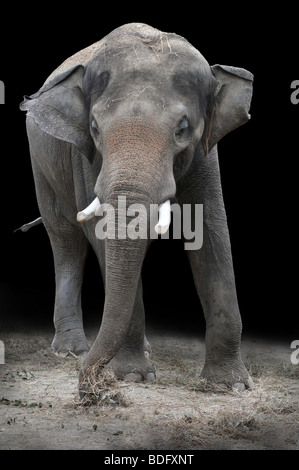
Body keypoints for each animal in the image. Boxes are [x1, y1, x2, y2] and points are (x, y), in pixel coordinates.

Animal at [19, 23, 254, 390]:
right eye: (95, 128)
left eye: (183, 128)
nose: (88, 384)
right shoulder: (87, 157)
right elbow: (98, 230)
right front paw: (131, 375)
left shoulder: (205, 151)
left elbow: (211, 229)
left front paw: (229, 386)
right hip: (40, 161)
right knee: (65, 238)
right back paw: (71, 350)